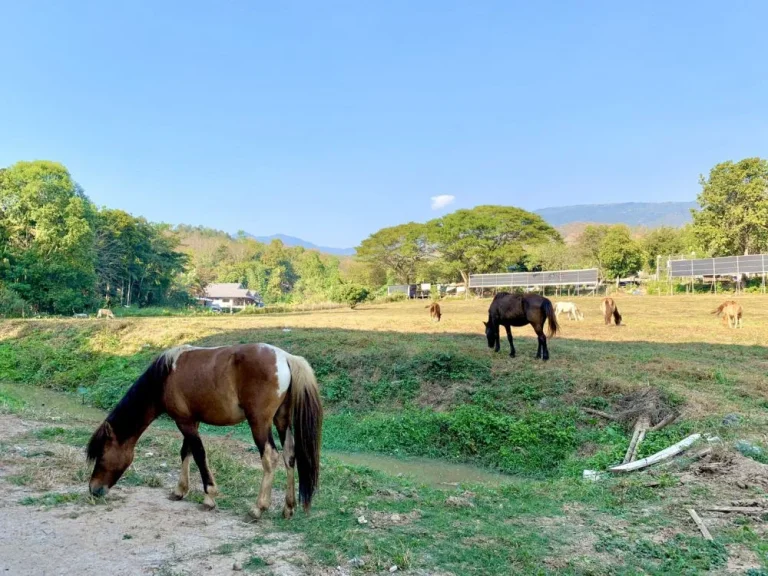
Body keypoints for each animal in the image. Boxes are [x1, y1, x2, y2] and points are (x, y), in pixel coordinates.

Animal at [86, 344, 320, 520]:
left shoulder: (184, 423)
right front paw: (180, 490)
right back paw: (288, 507)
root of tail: (285, 357)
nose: (93, 489)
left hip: (260, 424)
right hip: (282, 421)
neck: (165, 377)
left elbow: (199, 454)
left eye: (102, 455)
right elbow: (186, 452)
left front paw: (209, 497)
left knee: (270, 457)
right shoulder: (191, 421)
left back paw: (258, 508)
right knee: (289, 456)